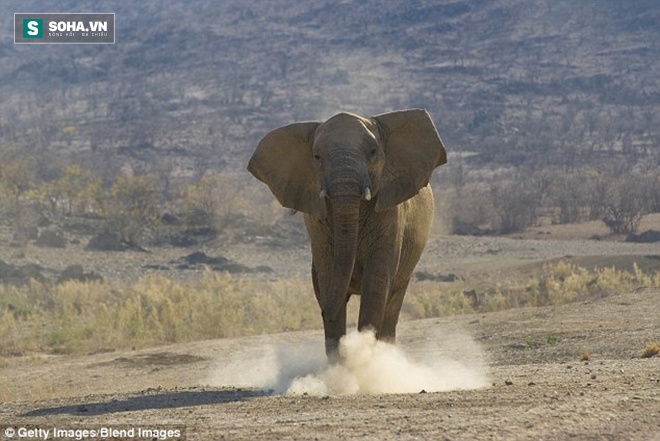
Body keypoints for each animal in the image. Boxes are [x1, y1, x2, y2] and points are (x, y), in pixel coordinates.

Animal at [249, 108, 448, 360]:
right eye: (317, 157)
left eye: (373, 152)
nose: (323, 312)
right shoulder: (317, 221)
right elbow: (328, 272)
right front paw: (341, 365)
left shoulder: (391, 213)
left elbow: (376, 282)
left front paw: (364, 359)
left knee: (393, 301)